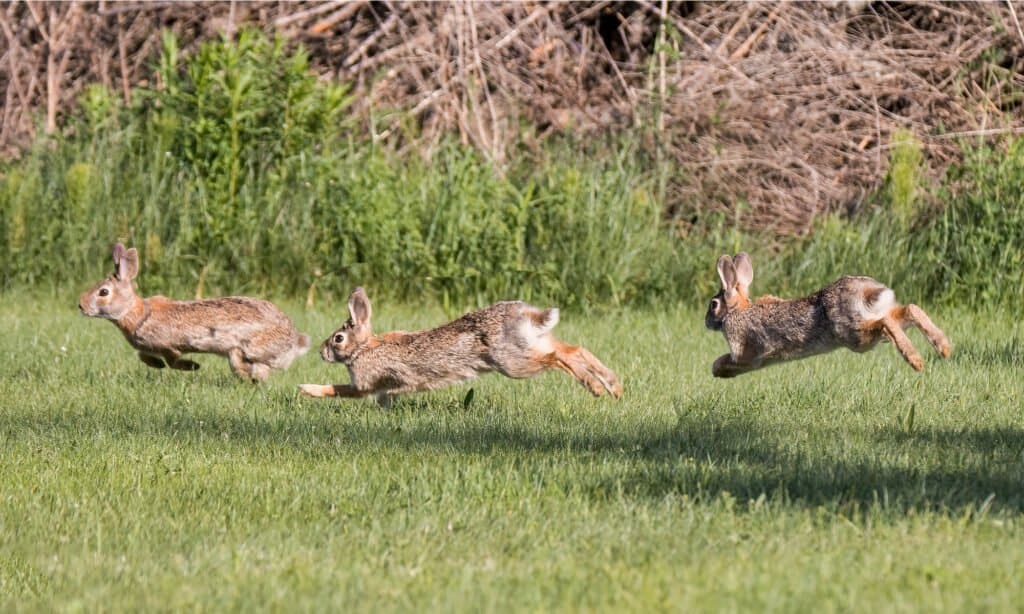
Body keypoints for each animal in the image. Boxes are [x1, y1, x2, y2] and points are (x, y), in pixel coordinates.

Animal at [79, 243, 307, 378]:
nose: (80, 305)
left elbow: (172, 360)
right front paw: (156, 365)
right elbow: (143, 356)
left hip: (247, 349)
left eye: (103, 292)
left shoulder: (168, 346)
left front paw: (192, 367)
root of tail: (295, 340)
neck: (137, 313)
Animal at [299, 288, 622, 407]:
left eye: (338, 339)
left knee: (558, 358)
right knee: (574, 349)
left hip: (513, 363)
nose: (321, 352)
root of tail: (525, 314)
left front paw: (307, 389)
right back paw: (614, 387)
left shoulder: (366, 383)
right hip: (534, 343)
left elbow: (340, 389)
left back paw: (595, 387)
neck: (365, 347)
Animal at [704, 251, 950, 376]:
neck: (737, 310)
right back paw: (944, 348)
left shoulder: (744, 351)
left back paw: (916, 361)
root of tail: (866, 290)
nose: (706, 322)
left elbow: (729, 359)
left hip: (854, 336)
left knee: (885, 323)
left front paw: (716, 369)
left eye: (713, 304)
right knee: (908, 310)